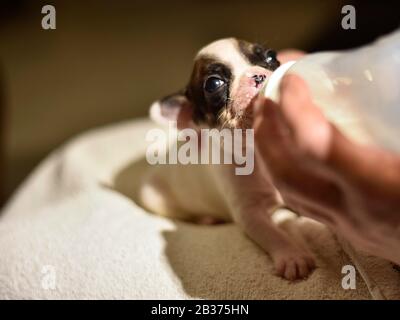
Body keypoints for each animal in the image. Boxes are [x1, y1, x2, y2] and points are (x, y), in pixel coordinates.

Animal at [141, 38, 316, 280]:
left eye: (271, 57)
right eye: (214, 84)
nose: (258, 76)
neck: (256, 151)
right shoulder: (249, 214)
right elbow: (273, 234)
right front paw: (292, 256)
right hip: (153, 197)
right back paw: (206, 219)